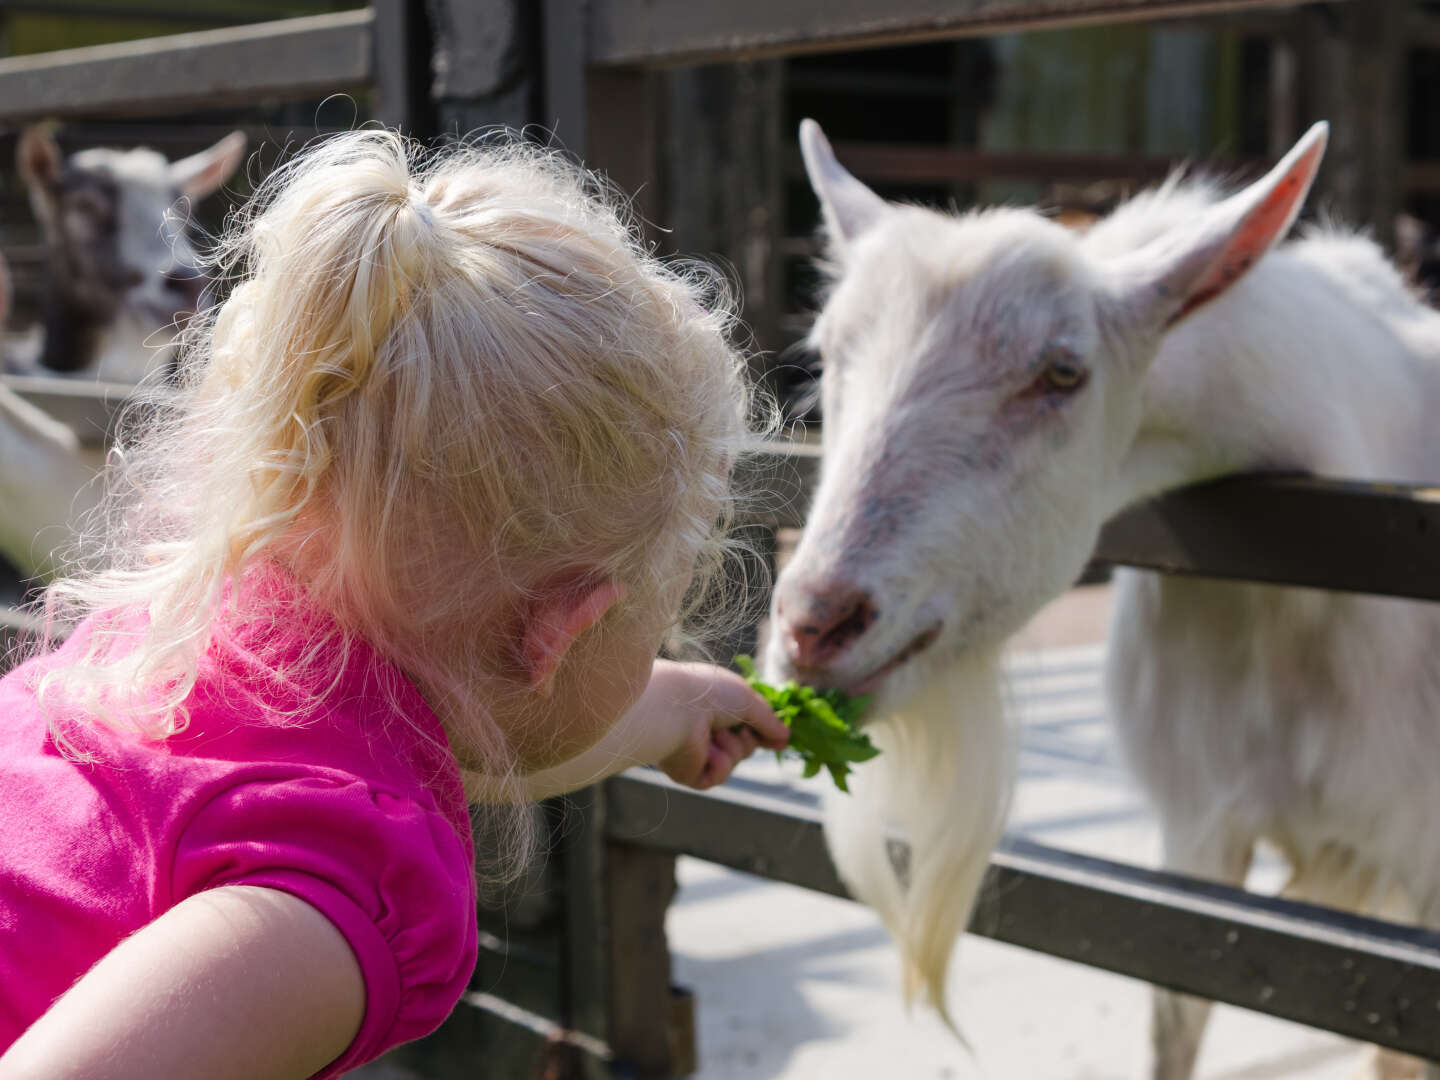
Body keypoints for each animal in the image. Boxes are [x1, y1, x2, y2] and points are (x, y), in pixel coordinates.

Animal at [771, 122, 1440, 1077]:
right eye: (828, 353)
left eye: (1061, 372)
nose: (815, 623)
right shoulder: (1198, 832)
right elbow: (1175, 1025)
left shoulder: (1418, 860)